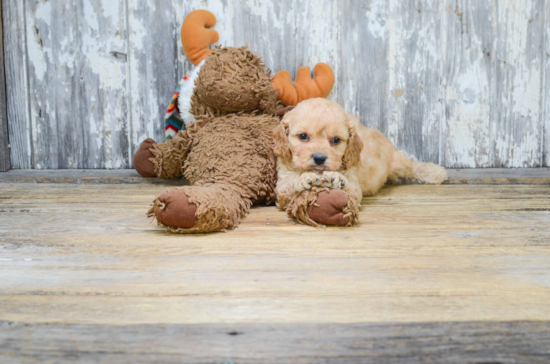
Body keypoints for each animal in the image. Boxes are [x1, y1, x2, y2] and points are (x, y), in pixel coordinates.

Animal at [274, 98, 450, 223]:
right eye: (303, 136)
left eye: (336, 140)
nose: (319, 158)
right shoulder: (281, 186)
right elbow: (289, 185)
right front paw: (305, 179)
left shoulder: (353, 185)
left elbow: (349, 187)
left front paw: (334, 178)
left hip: (397, 162)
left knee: (411, 166)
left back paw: (436, 172)